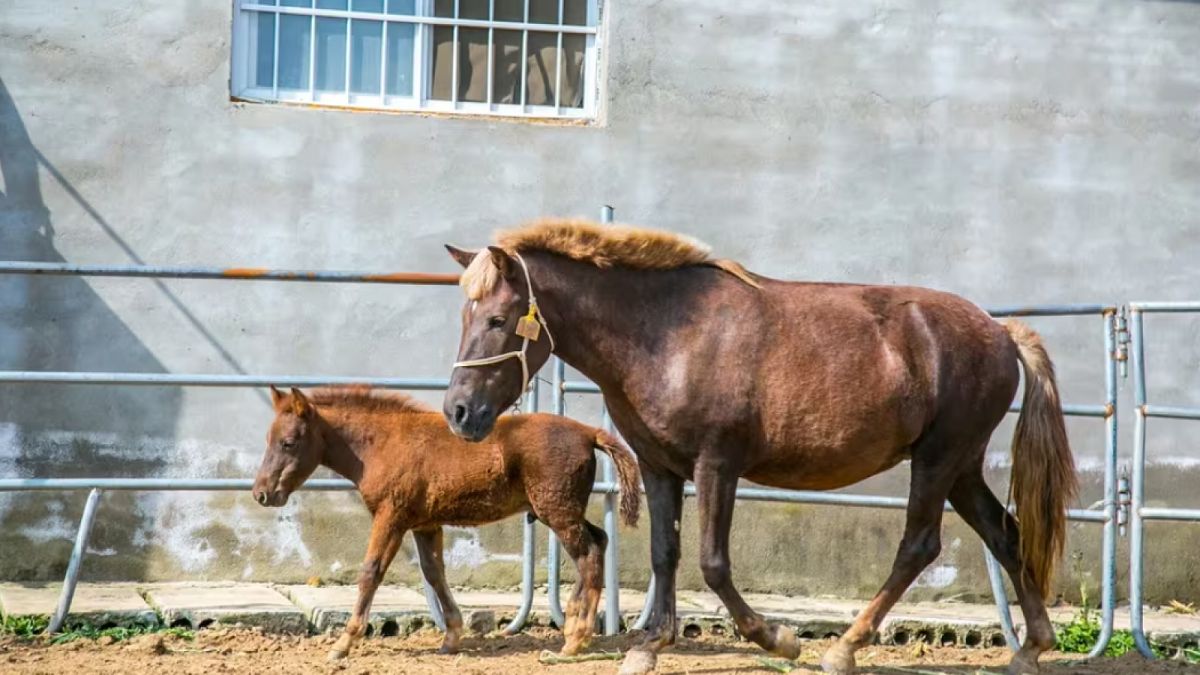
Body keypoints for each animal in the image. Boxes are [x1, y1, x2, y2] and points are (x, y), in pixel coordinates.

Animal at [251, 385, 641, 660]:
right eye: (268, 439)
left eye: (289, 442)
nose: (262, 494)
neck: (382, 444)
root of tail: (588, 431)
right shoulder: (424, 524)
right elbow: (434, 573)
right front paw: (451, 637)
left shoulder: (391, 516)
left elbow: (371, 572)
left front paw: (344, 642)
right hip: (564, 511)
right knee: (599, 541)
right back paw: (575, 624)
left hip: (556, 512)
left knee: (588, 554)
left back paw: (575, 639)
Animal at [441, 219, 1077, 675]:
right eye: (465, 316)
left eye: (498, 319)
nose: (459, 412)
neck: (666, 333)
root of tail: (1000, 332)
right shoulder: (660, 466)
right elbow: (665, 554)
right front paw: (647, 647)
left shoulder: (718, 463)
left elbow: (712, 563)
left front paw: (779, 639)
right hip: (962, 466)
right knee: (1005, 534)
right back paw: (1030, 649)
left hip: (939, 459)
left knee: (918, 546)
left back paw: (842, 649)